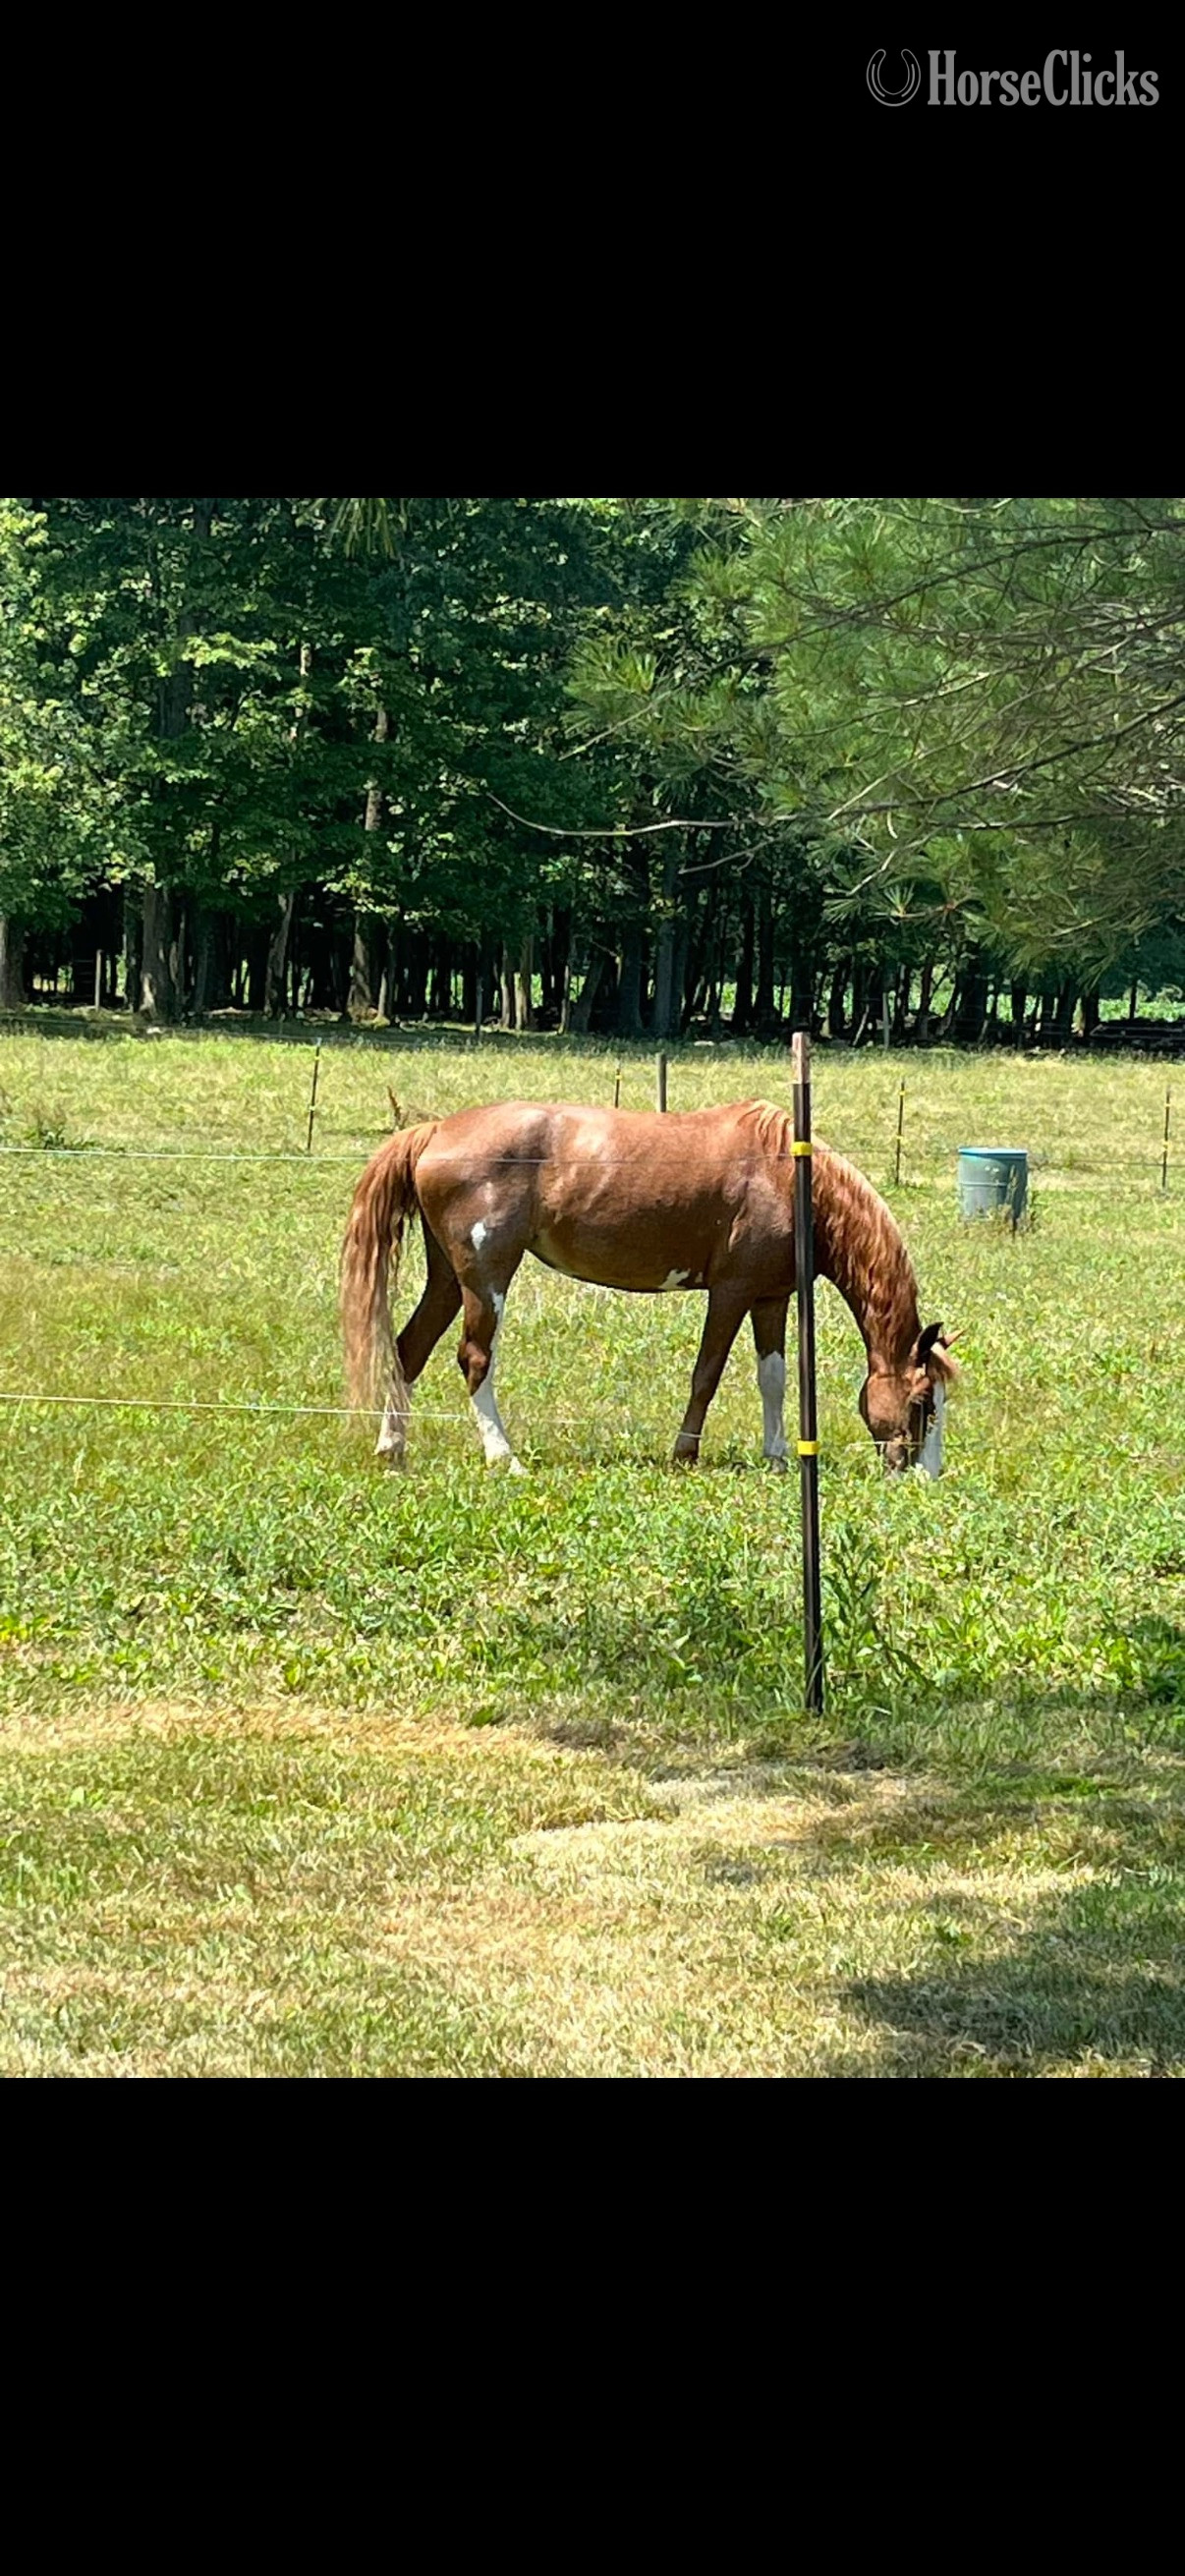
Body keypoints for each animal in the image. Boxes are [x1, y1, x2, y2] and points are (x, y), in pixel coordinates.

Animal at [340, 1098, 960, 1477]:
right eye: (922, 1401)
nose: (924, 1474)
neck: (792, 1178)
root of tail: (433, 1131)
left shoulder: (771, 1297)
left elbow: (774, 1379)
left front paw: (779, 1457)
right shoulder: (731, 1293)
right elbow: (707, 1374)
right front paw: (685, 1453)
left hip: (448, 1276)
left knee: (408, 1351)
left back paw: (392, 1449)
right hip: (486, 1278)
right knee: (473, 1358)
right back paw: (503, 1456)